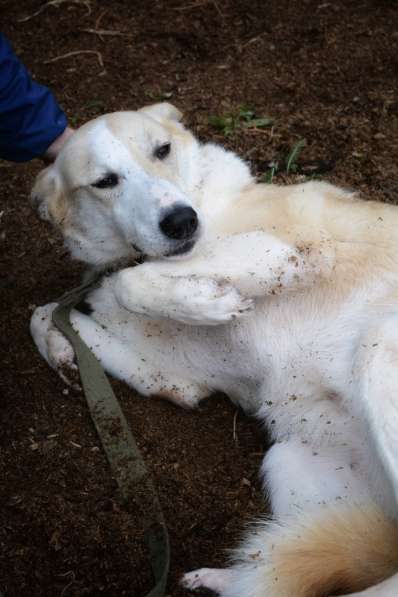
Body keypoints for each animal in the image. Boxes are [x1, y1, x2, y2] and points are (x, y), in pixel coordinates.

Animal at [29, 105, 398, 592]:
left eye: (162, 150)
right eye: (104, 181)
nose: (181, 221)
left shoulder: (293, 248)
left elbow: (132, 282)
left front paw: (205, 302)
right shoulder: (178, 377)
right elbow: (44, 314)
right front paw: (63, 353)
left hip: (378, 351)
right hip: (292, 459)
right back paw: (220, 580)